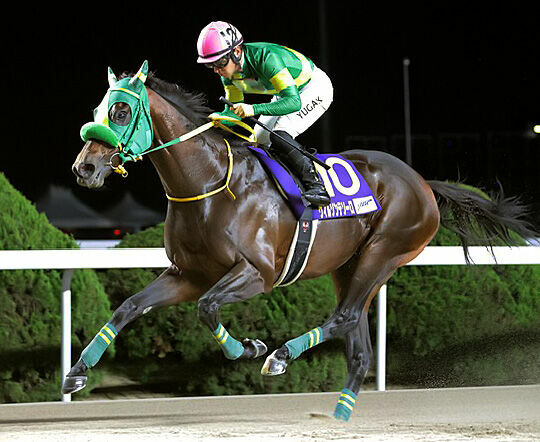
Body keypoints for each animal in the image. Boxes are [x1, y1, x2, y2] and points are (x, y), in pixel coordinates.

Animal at [66, 63, 536, 422]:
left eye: (121, 110)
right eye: (97, 109)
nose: (84, 168)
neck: (209, 182)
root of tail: (423, 182)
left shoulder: (257, 274)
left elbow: (207, 307)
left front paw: (252, 347)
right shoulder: (189, 273)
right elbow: (129, 307)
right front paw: (77, 373)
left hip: (384, 252)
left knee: (344, 317)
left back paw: (281, 356)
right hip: (349, 266)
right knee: (358, 344)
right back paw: (339, 417)